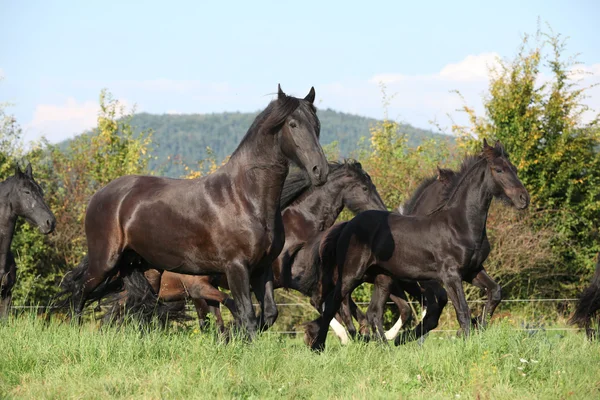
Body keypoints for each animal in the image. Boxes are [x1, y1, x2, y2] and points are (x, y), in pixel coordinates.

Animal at [59, 85, 328, 338]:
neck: (245, 198)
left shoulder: (262, 268)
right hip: (105, 262)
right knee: (80, 292)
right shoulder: (236, 267)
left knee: (126, 304)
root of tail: (100, 195)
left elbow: (268, 314)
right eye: (293, 124)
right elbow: (247, 316)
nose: (320, 171)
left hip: (140, 267)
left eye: (317, 125)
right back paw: (75, 332)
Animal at [310, 140, 528, 350]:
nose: (523, 199)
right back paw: (319, 345)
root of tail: (347, 226)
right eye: (498, 170)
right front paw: (466, 341)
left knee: (373, 312)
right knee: (331, 304)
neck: (459, 223)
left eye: (514, 168)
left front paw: (478, 327)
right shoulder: (450, 275)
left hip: (383, 278)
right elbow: (462, 312)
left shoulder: (472, 270)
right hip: (352, 274)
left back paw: (385, 348)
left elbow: (495, 292)